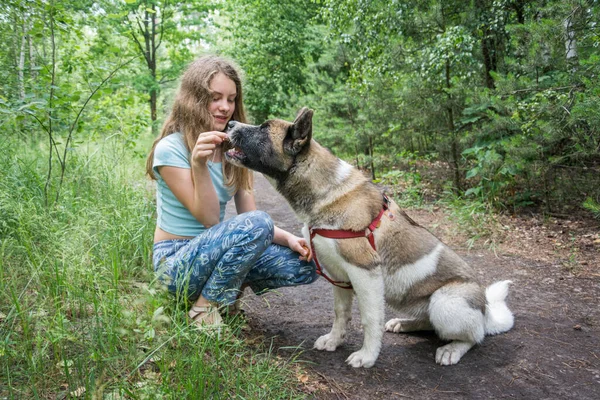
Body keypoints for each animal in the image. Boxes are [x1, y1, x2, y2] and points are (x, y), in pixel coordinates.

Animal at [223, 107, 512, 368]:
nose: (229, 123)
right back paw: (404, 324)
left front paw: (367, 357)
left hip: (445, 303)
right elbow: (340, 313)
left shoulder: (365, 273)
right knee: (430, 324)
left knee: (474, 337)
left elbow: (369, 320)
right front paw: (334, 341)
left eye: (263, 128)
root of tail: (486, 311)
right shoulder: (338, 275)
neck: (326, 192)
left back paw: (452, 349)